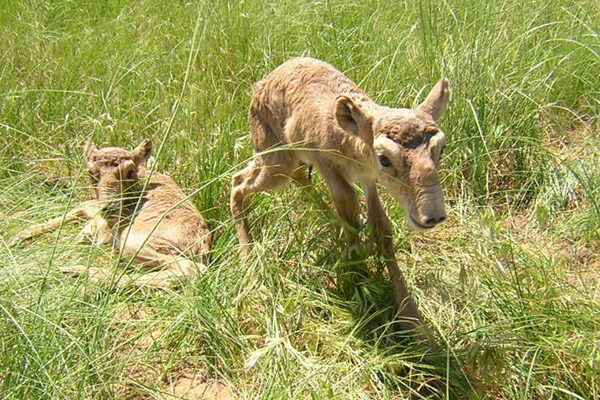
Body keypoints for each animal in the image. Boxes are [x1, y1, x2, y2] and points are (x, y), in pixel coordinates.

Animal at [232, 57, 452, 334]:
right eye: (384, 159)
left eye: (441, 148)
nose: (433, 216)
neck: (350, 139)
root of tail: (261, 83)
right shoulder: (331, 170)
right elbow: (351, 216)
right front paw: (357, 284)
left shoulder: (368, 179)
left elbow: (381, 228)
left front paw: (414, 323)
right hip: (276, 163)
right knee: (237, 183)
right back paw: (247, 264)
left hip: (287, 162)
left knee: (296, 178)